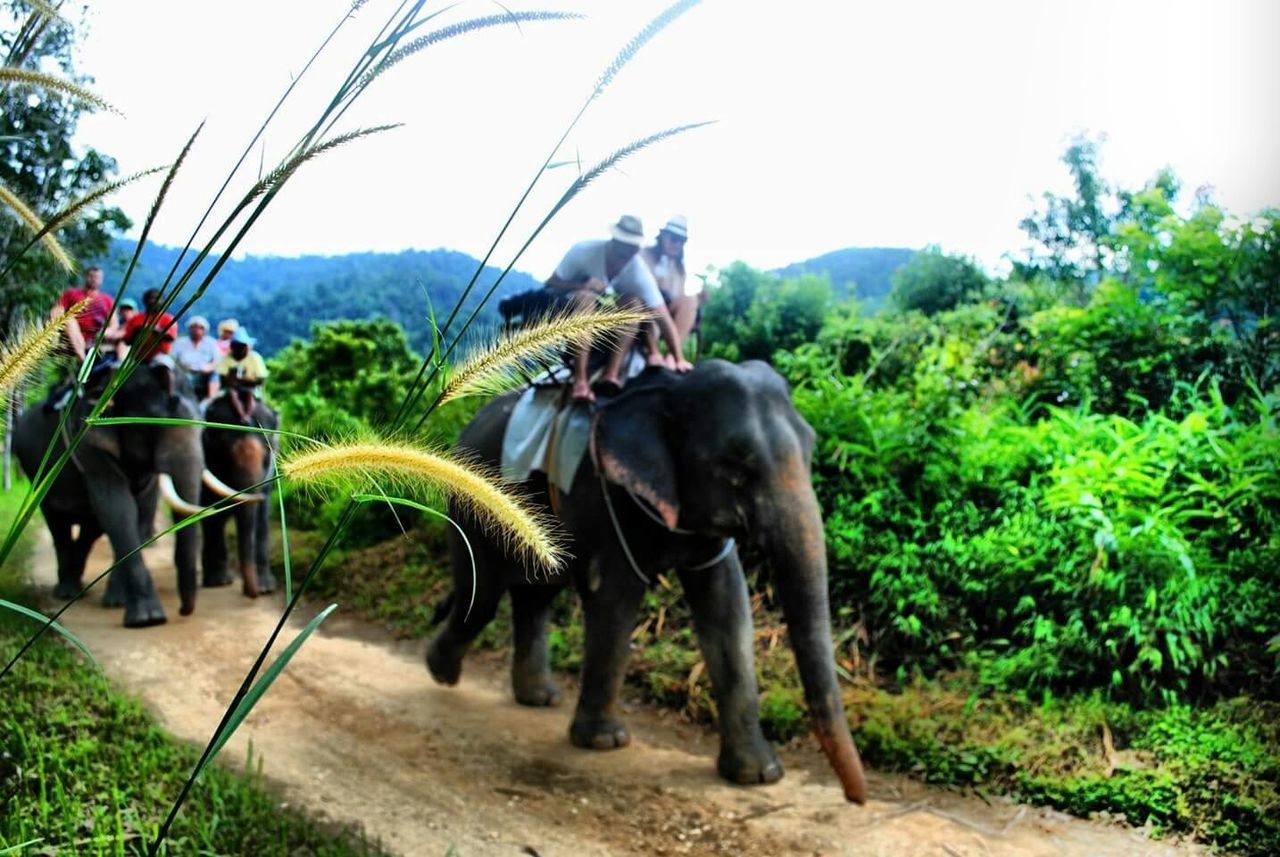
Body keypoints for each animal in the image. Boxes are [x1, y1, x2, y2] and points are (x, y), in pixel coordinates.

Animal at [199, 393, 280, 601]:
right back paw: (218, 579)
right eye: (224, 454)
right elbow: (212, 515)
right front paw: (219, 581)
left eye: (267, 451)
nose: (253, 595)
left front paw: (266, 588)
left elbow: (262, 517)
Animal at [430, 360, 870, 808]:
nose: (857, 798)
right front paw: (604, 742)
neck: (670, 393)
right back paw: (443, 673)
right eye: (734, 468)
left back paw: (538, 697)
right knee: (483, 596)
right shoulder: (602, 494)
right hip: (473, 504)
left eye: (811, 448)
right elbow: (616, 596)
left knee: (536, 593)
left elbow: (727, 604)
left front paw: (759, 775)